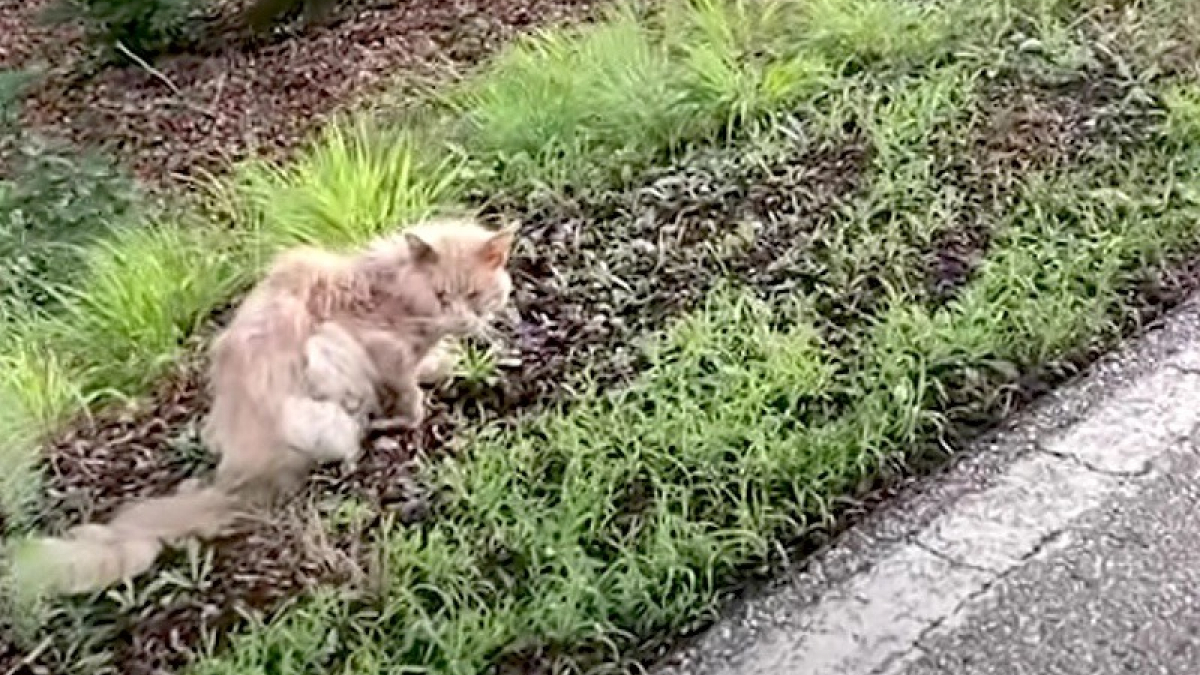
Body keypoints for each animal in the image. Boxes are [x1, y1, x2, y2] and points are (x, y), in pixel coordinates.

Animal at [16, 216, 518, 593]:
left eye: (474, 296)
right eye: (442, 296)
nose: (460, 319)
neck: (391, 287)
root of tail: (241, 474)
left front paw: (445, 362)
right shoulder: (380, 349)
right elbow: (410, 395)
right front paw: (415, 407)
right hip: (324, 372)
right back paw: (370, 434)